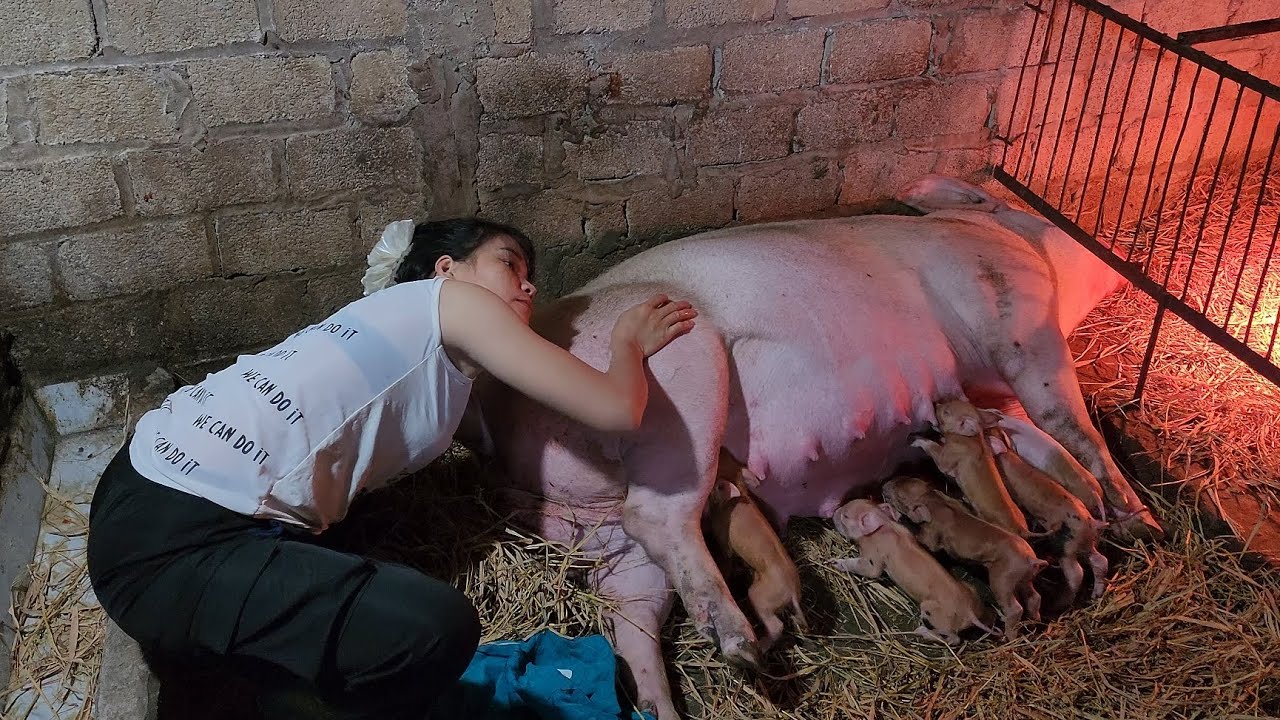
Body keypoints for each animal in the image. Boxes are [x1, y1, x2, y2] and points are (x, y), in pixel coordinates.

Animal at [705, 448, 808, 653]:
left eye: (717, 464)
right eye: (726, 455)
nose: (720, 448)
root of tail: (792, 591)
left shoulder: (724, 541)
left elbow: (726, 559)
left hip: (760, 597)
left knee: (776, 626)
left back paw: (761, 645)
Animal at [831, 499, 998, 646]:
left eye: (845, 516)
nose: (834, 513)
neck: (885, 525)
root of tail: (969, 612)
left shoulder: (874, 557)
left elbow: (871, 571)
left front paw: (836, 563)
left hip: (933, 612)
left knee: (954, 638)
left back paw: (921, 631)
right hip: (972, 592)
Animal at [881, 475, 1047, 638]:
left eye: (900, 497)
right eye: (900, 478)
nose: (884, 486)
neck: (932, 499)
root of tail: (1032, 559)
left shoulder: (933, 532)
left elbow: (927, 542)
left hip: (1002, 579)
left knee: (1015, 608)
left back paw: (1008, 636)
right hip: (1023, 579)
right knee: (1035, 597)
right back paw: (1035, 622)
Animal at [910, 399, 1030, 537]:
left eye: (946, 412)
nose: (935, 403)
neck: (969, 438)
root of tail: (1022, 529)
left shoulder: (944, 461)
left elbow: (931, 445)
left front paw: (916, 441)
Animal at [987, 431, 1110, 601]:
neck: (1010, 458)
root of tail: (1090, 523)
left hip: (1067, 546)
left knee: (1076, 573)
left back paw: (1065, 599)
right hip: (1087, 542)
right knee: (1100, 560)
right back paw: (1095, 594)